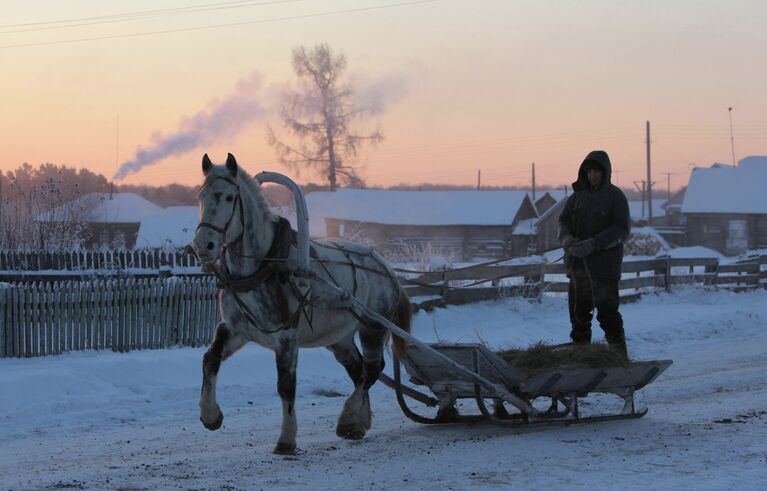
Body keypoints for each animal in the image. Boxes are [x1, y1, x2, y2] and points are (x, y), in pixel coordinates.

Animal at [190, 155, 414, 458]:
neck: (263, 265)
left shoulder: (286, 336)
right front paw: (210, 415)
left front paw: (286, 439)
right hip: (339, 338)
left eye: (228, 197)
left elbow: (286, 386)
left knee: (373, 368)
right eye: (201, 196)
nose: (204, 245)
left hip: (373, 328)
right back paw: (358, 422)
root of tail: (386, 267)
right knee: (358, 371)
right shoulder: (235, 329)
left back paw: (349, 419)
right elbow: (209, 359)